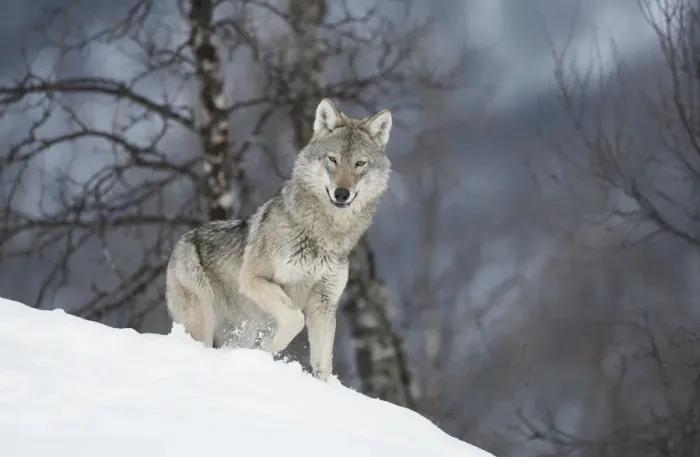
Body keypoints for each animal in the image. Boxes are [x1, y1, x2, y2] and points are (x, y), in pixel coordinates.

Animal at [165, 98, 393, 381]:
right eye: (332, 159)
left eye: (360, 164)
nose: (342, 194)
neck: (323, 236)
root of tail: (181, 241)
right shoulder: (254, 279)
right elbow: (294, 319)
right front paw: (266, 349)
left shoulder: (324, 304)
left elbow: (324, 365)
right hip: (204, 324)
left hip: (241, 328)